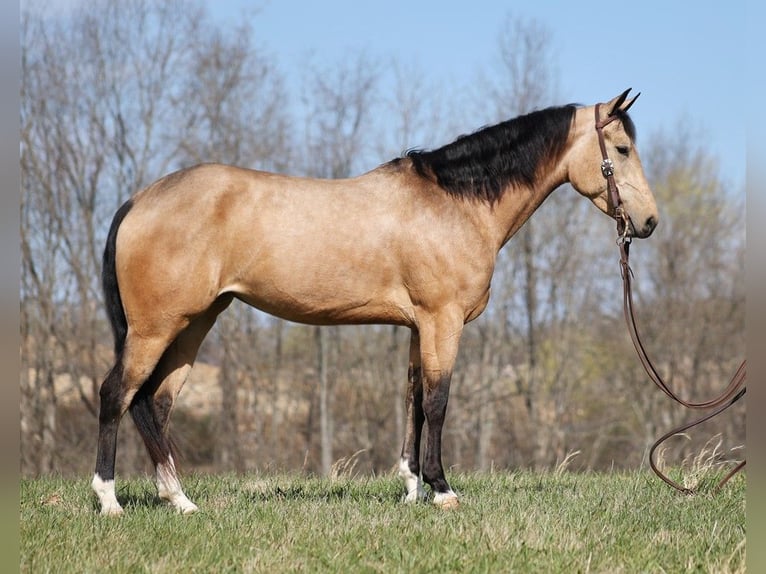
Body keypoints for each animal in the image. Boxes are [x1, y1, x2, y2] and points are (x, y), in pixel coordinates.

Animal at [91, 89, 660, 516]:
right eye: (621, 149)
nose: (649, 222)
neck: (455, 203)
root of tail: (139, 200)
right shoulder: (442, 321)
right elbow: (438, 401)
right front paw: (442, 490)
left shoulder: (417, 327)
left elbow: (413, 400)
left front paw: (411, 488)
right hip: (157, 327)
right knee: (116, 393)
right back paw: (109, 500)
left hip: (195, 322)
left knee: (156, 403)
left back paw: (180, 500)